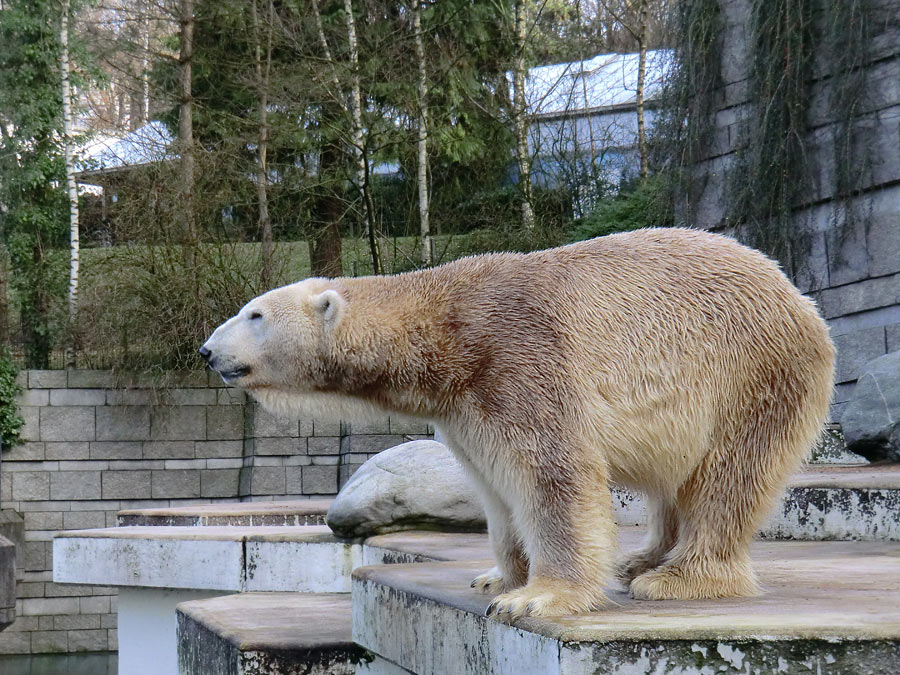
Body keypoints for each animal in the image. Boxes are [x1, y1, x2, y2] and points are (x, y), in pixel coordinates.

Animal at [200, 227, 832, 616]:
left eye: (254, 315)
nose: (207, 351)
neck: (447, 331)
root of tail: (797, 295)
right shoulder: (464, 410)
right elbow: (495, 489)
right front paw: (498, 576)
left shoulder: (518, 356)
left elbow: (551, 474)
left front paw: (535, 597)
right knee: (672, 480)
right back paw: (641, 560)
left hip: (751, 374)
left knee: (727, 477)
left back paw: (678, 578)